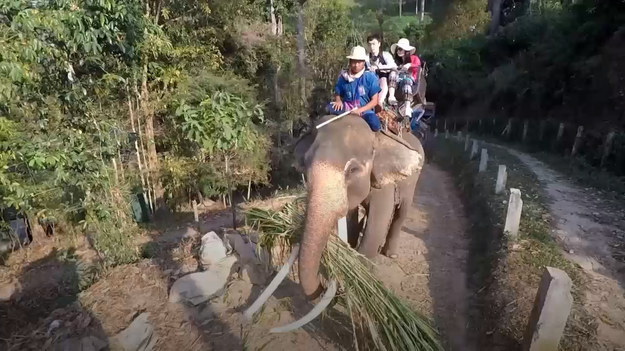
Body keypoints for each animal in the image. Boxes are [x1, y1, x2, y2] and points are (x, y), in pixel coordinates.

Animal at [292, 113, 424, 300]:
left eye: (353, 170)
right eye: (305, 163)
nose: (324, 288)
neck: (375, 136)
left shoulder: (383, 182)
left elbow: (378, 223)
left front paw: (360, 270)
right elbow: (351, 216)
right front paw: (350, 247)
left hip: (413, 180)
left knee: (401, 213)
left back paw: (390, 253)